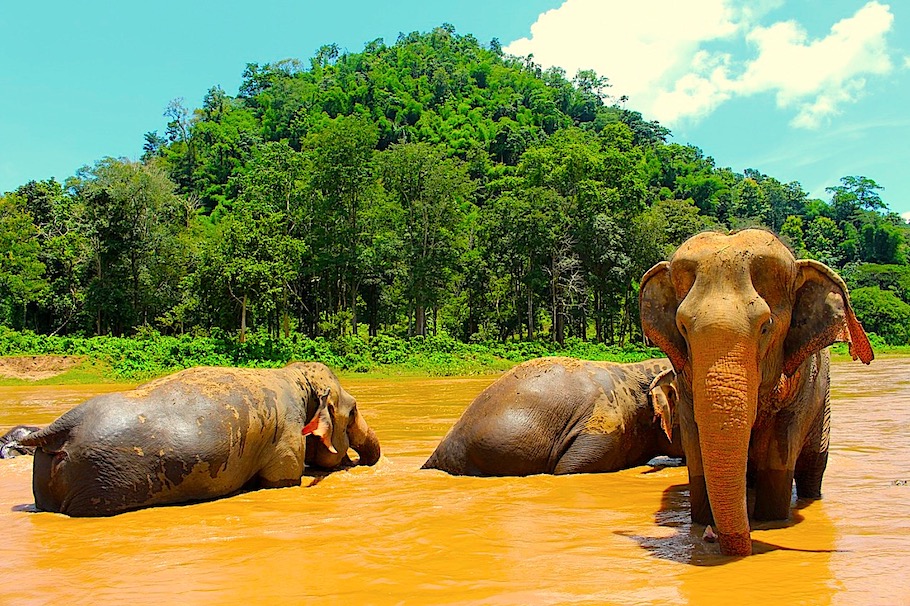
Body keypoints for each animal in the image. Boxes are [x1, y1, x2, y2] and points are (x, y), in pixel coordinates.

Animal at [17, 364, 382, 520]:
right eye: (352, 412)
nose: (356, 460)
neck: (296, 376)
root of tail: (62, 426)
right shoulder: (287, 435)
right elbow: (281, 481)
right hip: (99, 483)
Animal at [636, 230, 872, 560]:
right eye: (682, 327)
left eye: (765, 326)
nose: (711, 538)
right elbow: (696, 444)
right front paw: (702, 523)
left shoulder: (803, 383)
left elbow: (781, 445)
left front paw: (770, 521)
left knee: (813, 469)